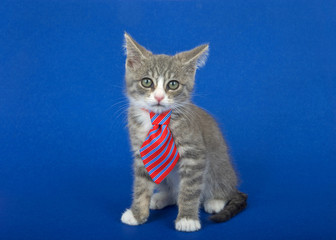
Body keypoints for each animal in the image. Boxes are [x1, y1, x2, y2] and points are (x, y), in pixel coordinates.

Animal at [121, 32, 247, 232]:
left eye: (173, 84)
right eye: (147, 82)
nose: (159, 97)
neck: (159, 119)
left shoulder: (194, 155)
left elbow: (189, 189)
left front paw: (187, 219)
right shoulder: (143, 153)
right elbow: (141, 184)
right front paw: (136, 214)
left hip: (220, 166)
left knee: (222, 186)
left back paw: (215, 201)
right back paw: (163, 197)